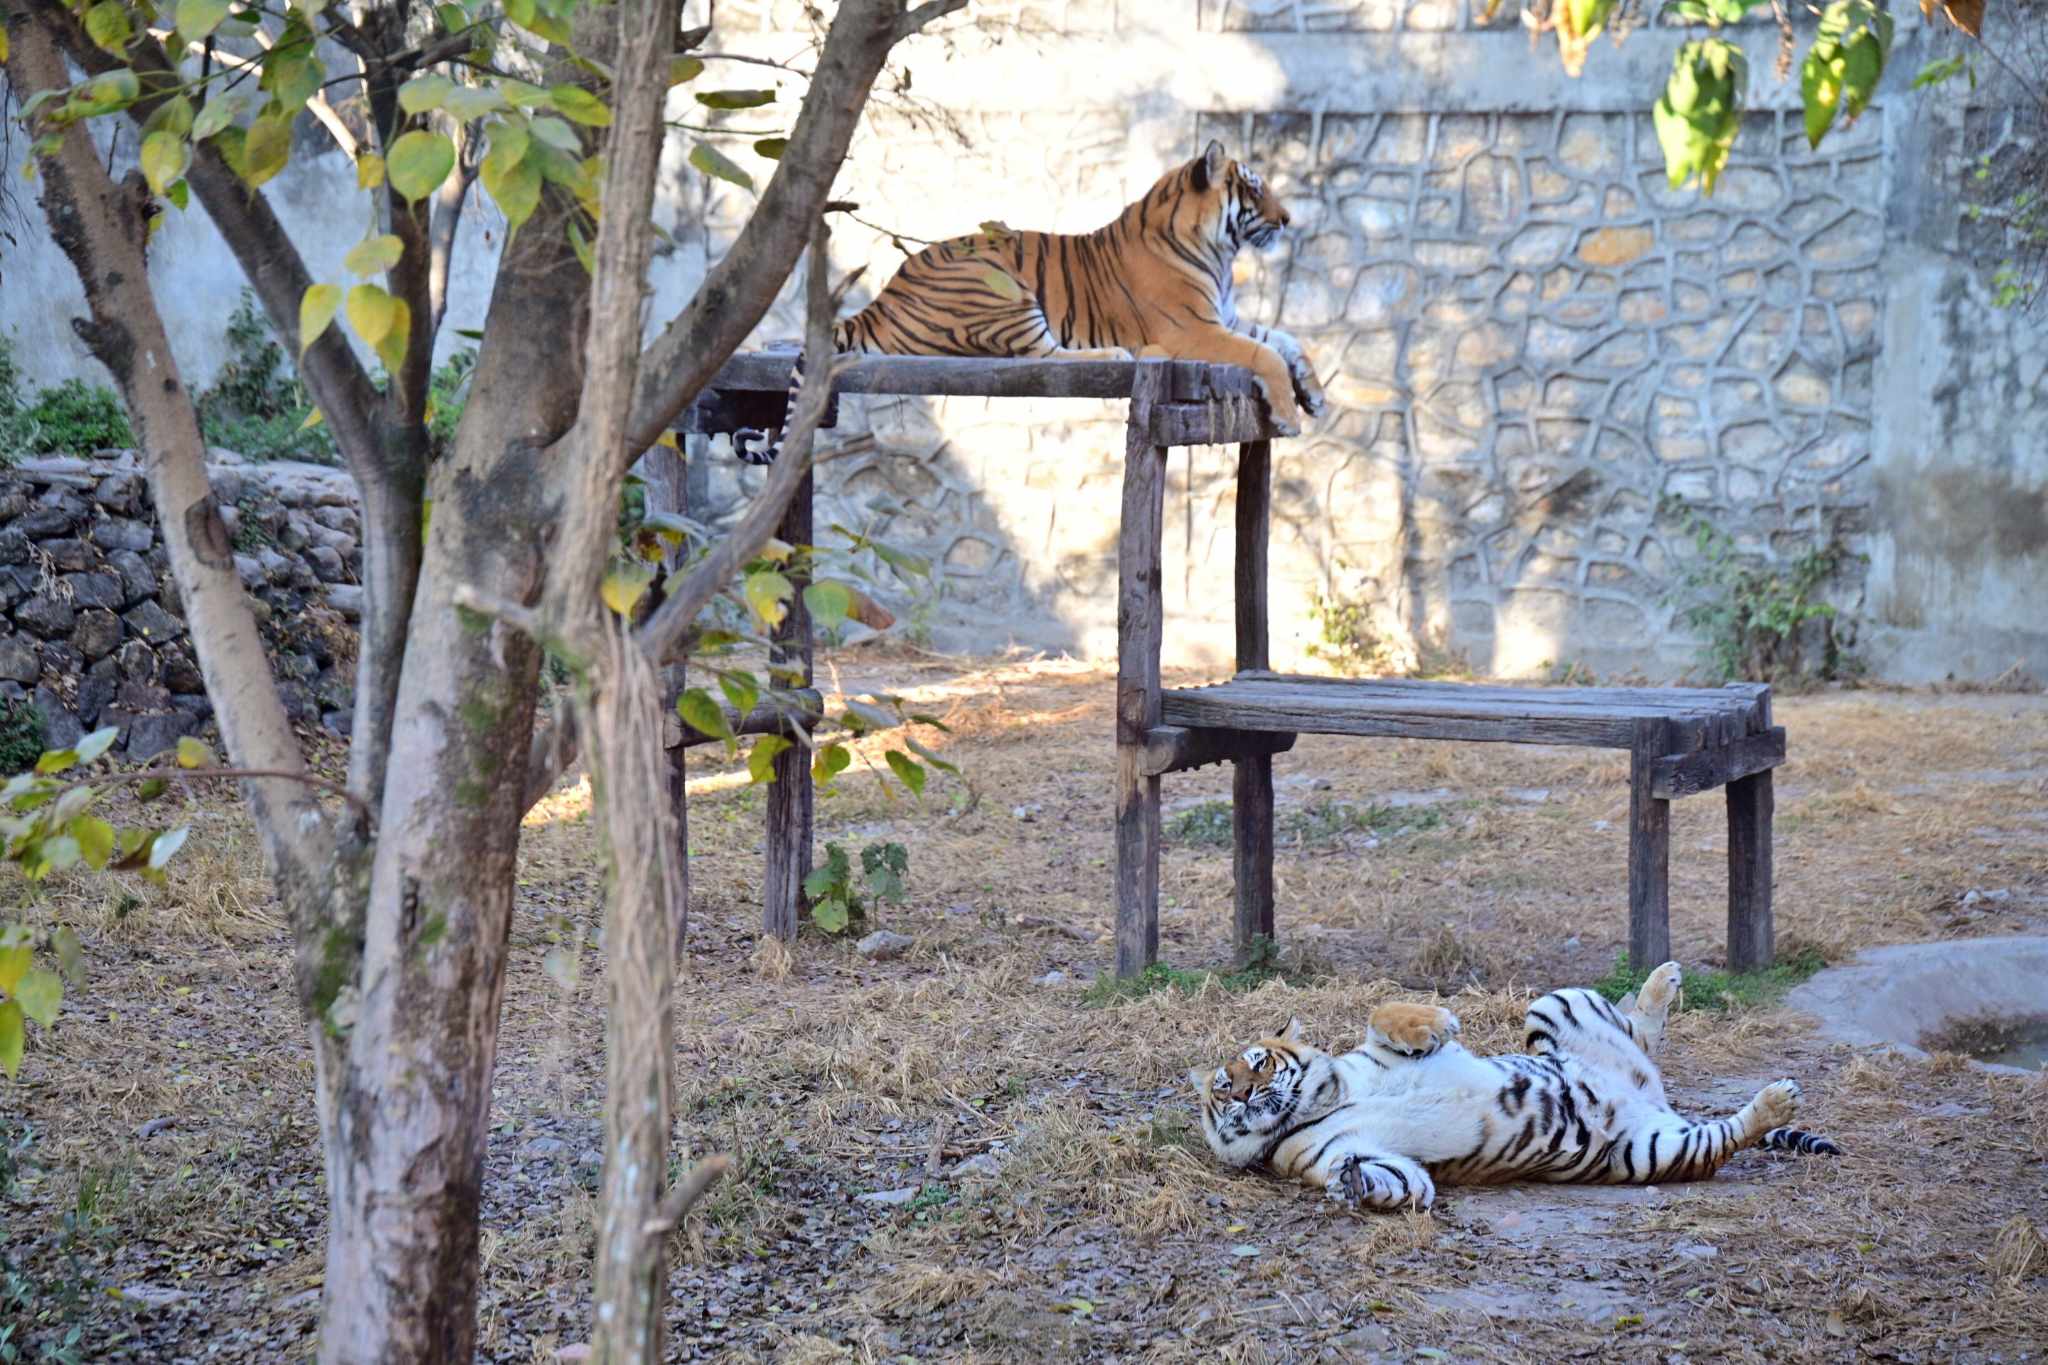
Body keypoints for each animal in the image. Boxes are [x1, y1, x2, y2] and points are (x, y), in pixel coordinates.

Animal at [737, 141, 1327, 464]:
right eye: (1255, 189)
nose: (1289, 219)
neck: (1219, 251)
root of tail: (882, 297)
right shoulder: (1192, 329)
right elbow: (1264, 355)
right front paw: (1290, 414)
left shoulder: (1225, 318)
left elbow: (1287, 339)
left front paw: (1316, 395)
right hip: (1000, 285)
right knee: (1040, 355)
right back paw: (1118, 355)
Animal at [1187, 965, 1843, 1211]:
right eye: (1223, 1088)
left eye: (1258, 1065)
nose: (1242, 1095)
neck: (1311, 1106)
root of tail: (1652, 1098)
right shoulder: (1350, 1157)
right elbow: (1395, 1179)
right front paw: (1355, 1186)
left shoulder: (1366, 1055)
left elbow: (1382, 1013)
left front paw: (1433, 1022)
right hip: (1651, 1150)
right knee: (1719, 1137)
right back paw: (1775, 1100)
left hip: (1556, 1002)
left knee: (1639, 1030)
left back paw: (1664, 978)